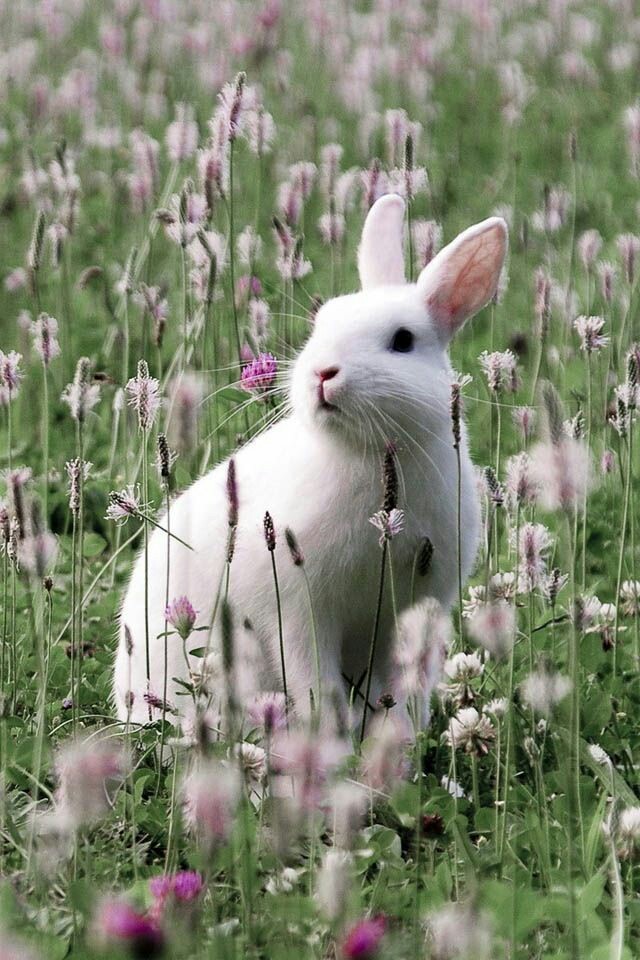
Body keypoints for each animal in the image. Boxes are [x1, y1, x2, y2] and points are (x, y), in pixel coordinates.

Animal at [113, 194, 508, 732]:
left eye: (403, 341)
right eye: (322, 324)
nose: (323, 372)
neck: (366, 454)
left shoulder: (416, 609)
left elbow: (405, 688)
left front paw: (399, 741)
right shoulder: (299, 612)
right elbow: (315, 683)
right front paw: (333, 741)